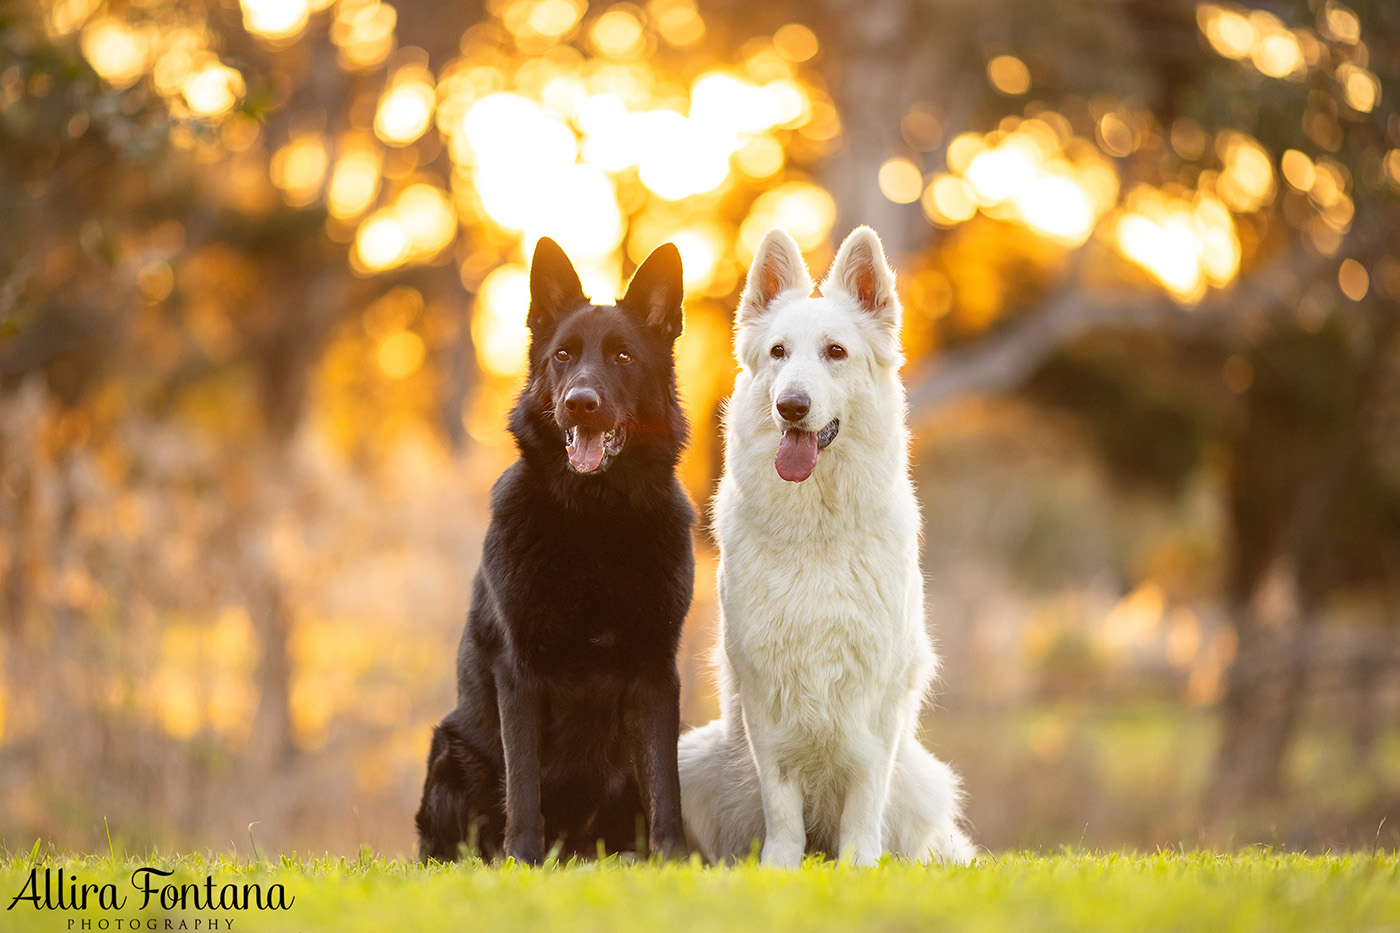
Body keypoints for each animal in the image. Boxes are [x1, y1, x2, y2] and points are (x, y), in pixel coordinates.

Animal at [414, 236, 700, 862]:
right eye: (562, 356)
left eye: (623, 358)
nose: (580, 402)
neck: (593, 518)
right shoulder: (519, 673)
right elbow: (523, 785)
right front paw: (521, 861)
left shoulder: (655, 673)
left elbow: (665, 786)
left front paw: (673, 859)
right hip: (452, 750)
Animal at [677, 225, 974, 862]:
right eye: (778, 353)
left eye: (836, 352)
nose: (791, 405)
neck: (816, 531)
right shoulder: (765, 693)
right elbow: (781, 803)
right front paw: (780, 867)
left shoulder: (877, 700)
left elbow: (864, 794)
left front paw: (859, 864)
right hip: (691, 760)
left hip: (923, 781)